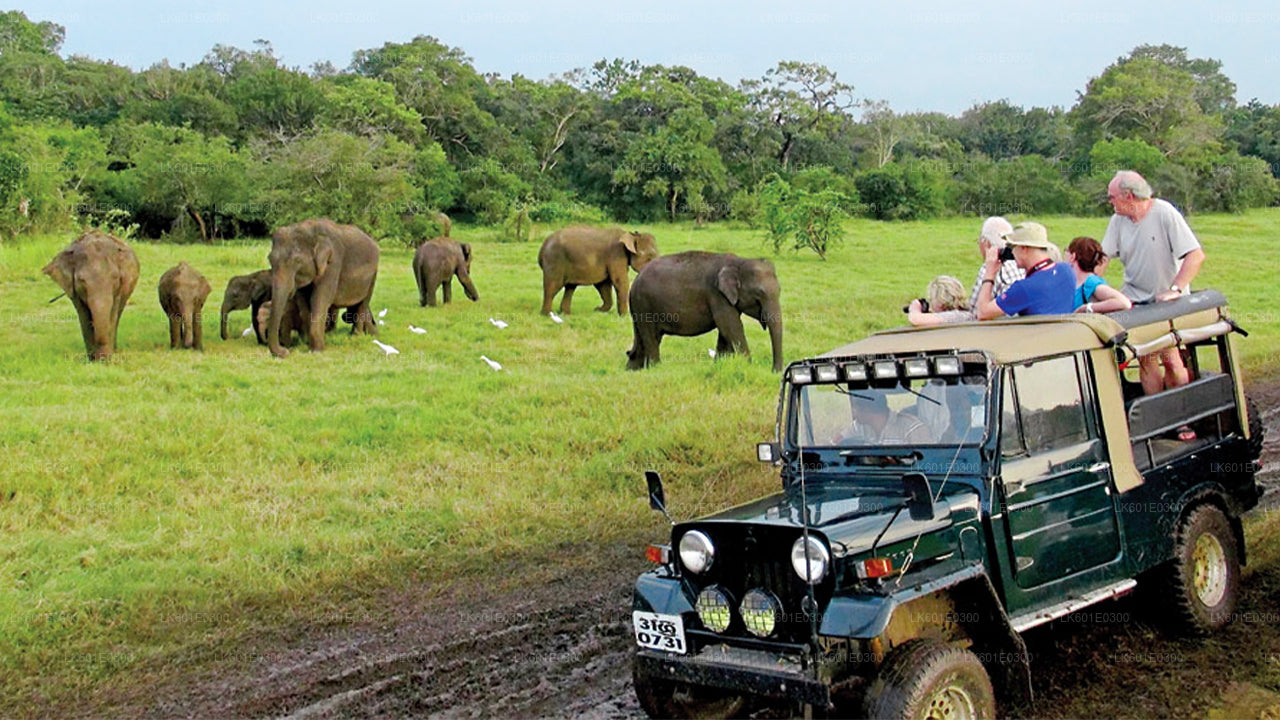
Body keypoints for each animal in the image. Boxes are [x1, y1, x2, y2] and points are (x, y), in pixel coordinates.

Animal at [43, 229, 140, 358]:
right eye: (81, 280)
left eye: (115, 278)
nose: (101, 357)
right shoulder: (74, 292)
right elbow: (84, 316)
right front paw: (93, 359)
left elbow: (112, 314)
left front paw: (106, 360)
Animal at [262, 215, 376, 356]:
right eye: (270, 259)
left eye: (297, 261)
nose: (285, 352)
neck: (310, 230)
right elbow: (304, 302)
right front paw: (306, 343)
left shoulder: (333, 262)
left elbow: (320, 299)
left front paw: (316, 350)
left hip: (373, 275)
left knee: (363, 304)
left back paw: (356, 337)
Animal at [627, 251, 783, 368]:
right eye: (759, 294)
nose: (775, 371)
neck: (739, 261)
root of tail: (634, 282)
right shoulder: (717, 295)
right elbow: (731, 327)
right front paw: (748, 365)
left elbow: (725, 331)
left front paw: (719, 365)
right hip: (644, 305)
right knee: (650, 337)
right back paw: (656, 367)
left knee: (644, 339)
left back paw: (634, 369)